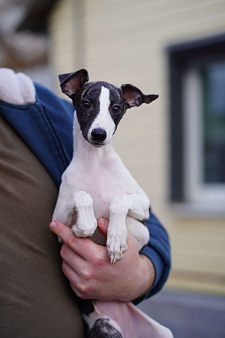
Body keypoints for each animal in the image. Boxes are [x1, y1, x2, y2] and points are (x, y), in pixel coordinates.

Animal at [52, 69, 172, 338]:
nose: (99, 134)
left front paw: (116, 239)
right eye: (86, 104)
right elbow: (82, 196)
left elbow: (119, 202)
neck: (96, 162)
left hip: (164, 333)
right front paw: (84, 226)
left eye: (116, 108)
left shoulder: (143, 207)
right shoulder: (57, 220)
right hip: (104, 326)